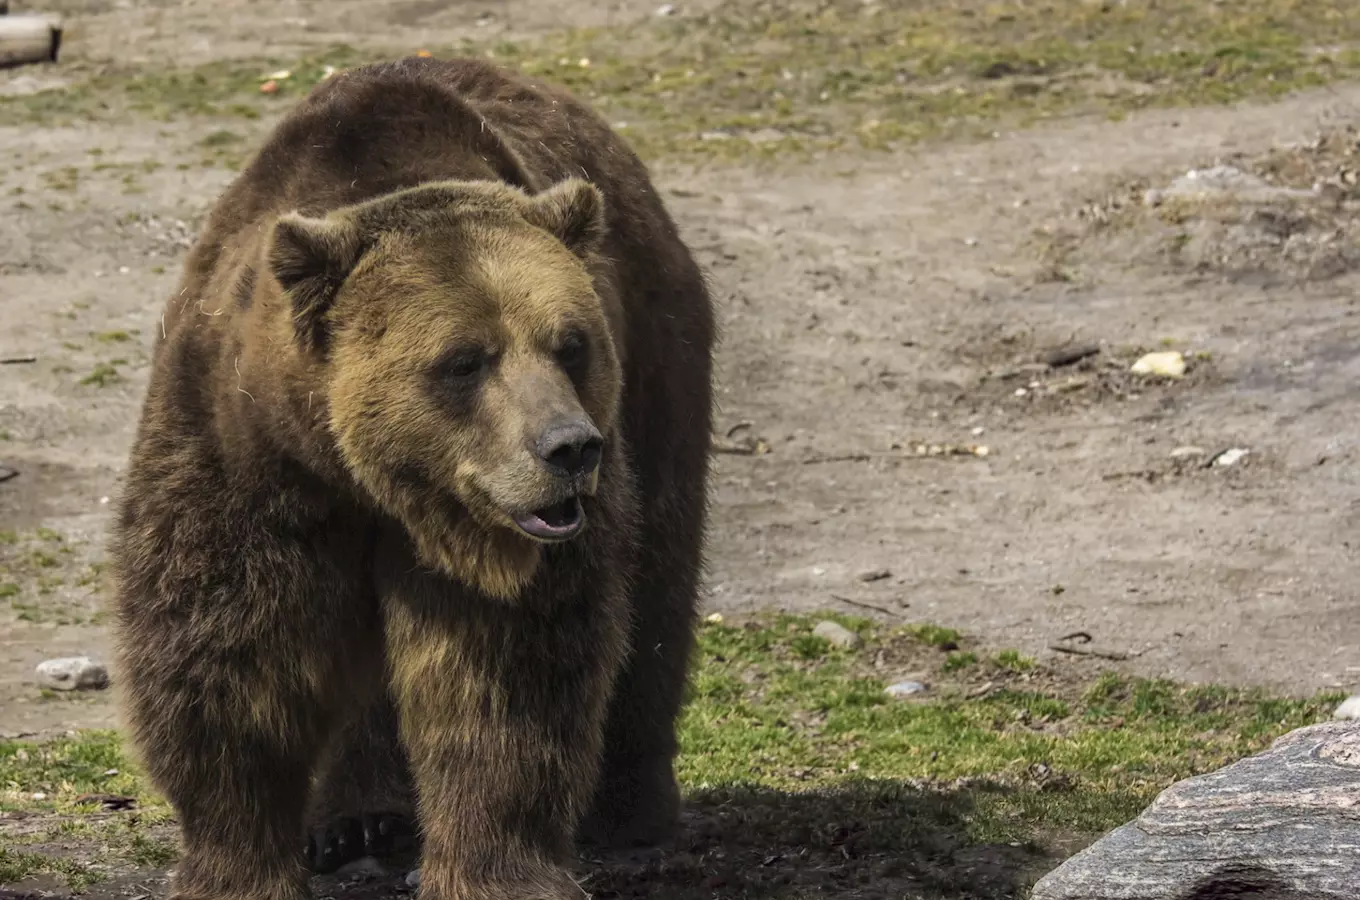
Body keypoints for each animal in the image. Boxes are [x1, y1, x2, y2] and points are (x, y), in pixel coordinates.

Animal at [108, 58, 712, 900]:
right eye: (464, 360)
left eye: (570, 343)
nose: (569, 448)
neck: (372, 481)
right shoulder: (245, 457)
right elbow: (230, 655)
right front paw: (237, 865)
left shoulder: (494, 546)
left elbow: (500, 687)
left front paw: (499, 872)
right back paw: (358, 822)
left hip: (660, 374)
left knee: (652, 599)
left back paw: (630, 818)